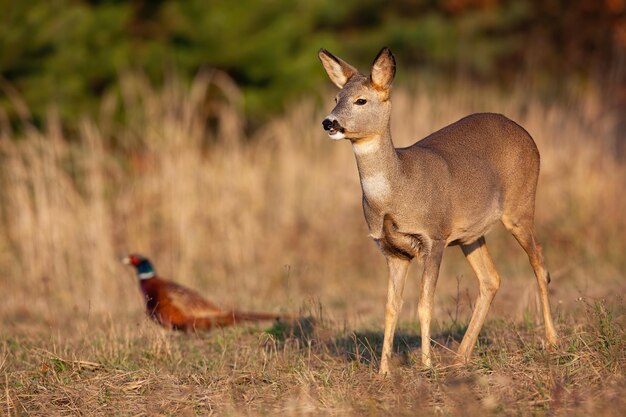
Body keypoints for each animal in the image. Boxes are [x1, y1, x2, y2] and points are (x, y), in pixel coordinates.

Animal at [320, 47, 552, 372]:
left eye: (360, 100)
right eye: (336, 97)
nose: (329, 122)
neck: (397, 189)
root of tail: (526, 134)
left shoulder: (434, 236)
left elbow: (424, 303)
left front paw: (427, 365)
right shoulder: (392, 251)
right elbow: (391, 307)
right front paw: (383, 371)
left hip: (520, 206)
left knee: (539, 262)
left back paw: (552, 341)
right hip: (471, 234)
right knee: (491, 279)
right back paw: (460, 357)